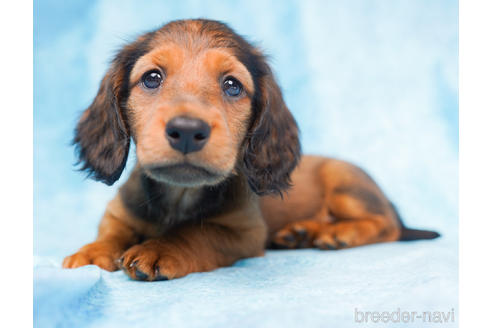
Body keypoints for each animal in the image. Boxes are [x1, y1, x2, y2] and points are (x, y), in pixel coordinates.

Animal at [63, 18, 440, 280]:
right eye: (152, 78)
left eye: (232, 85)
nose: (187, 131)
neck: (179, 196)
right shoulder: (119, 212)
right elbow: (112, 231)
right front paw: (93, 252)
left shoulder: (244, 233)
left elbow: (196, 234)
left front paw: (160, 248)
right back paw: (304, 232)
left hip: (344, 183)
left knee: (386, 225)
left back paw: (337, 232)